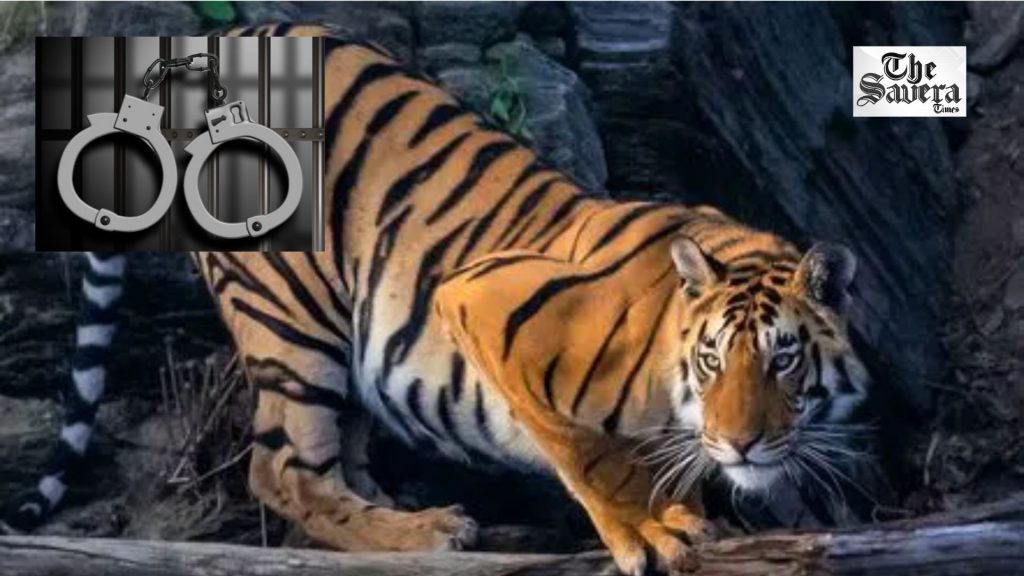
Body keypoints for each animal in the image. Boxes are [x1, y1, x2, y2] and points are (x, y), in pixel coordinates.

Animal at [7, 23, 876, 575]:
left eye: (784, 360)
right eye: (712, 359)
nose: (741, 445)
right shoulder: (488, 306)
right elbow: (589, 453)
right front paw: (649, 533)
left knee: (336, 456)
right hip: (291, 315)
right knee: (282, 469)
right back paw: (428, 534)